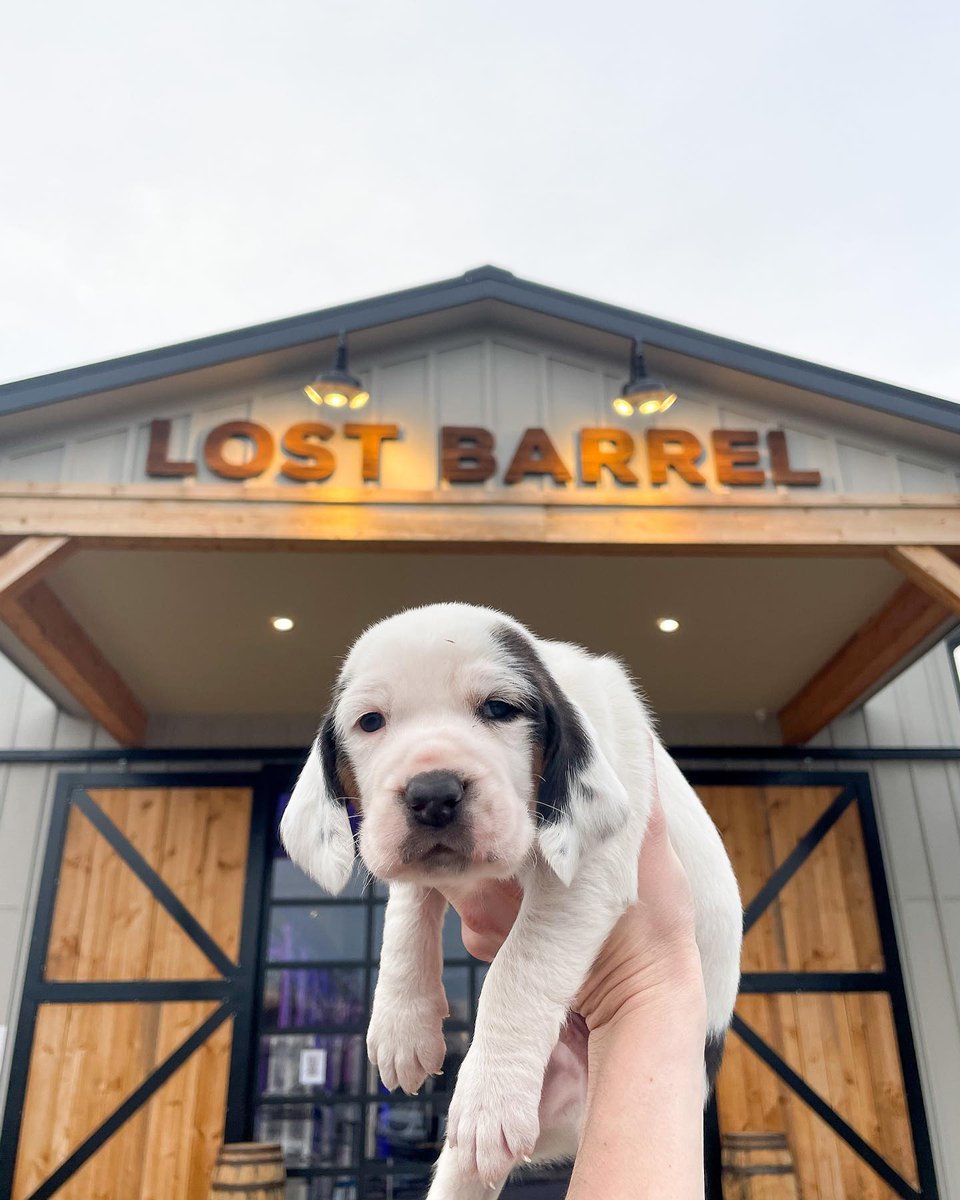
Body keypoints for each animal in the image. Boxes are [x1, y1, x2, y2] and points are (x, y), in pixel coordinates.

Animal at [279, 604, 744, 1195]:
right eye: (371, 722)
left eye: (499, 709)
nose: (433, 793)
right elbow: (407, 908)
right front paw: (402, 1021)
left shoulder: (585, 874)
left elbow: (517, 968)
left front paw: (490, 1095)